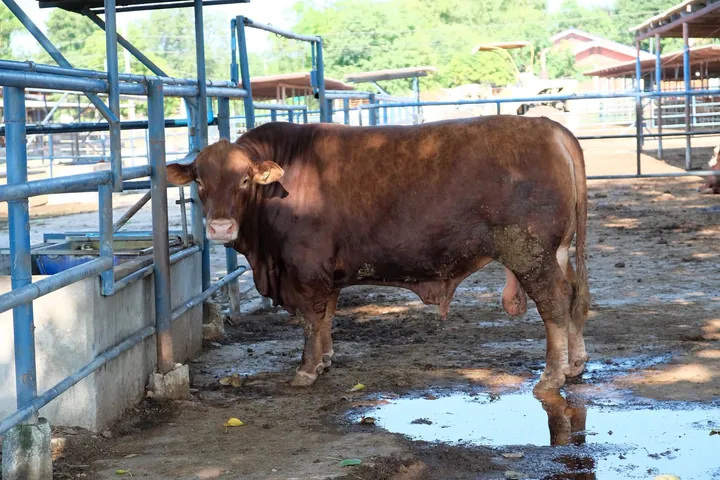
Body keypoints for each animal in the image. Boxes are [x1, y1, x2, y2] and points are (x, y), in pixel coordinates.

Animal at [167, 116, 590, 393]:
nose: (220, 227)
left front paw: (306, 369)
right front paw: (325, 359)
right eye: (199, 181)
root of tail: (549, 127)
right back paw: (575, 364)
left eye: (243, 179)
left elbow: (310, 320)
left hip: (530, 253)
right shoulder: (326, 274)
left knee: (554, 303)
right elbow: (326, 317)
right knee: (573, 298)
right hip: (558, 251)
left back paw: (551, 375)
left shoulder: (305, 269)